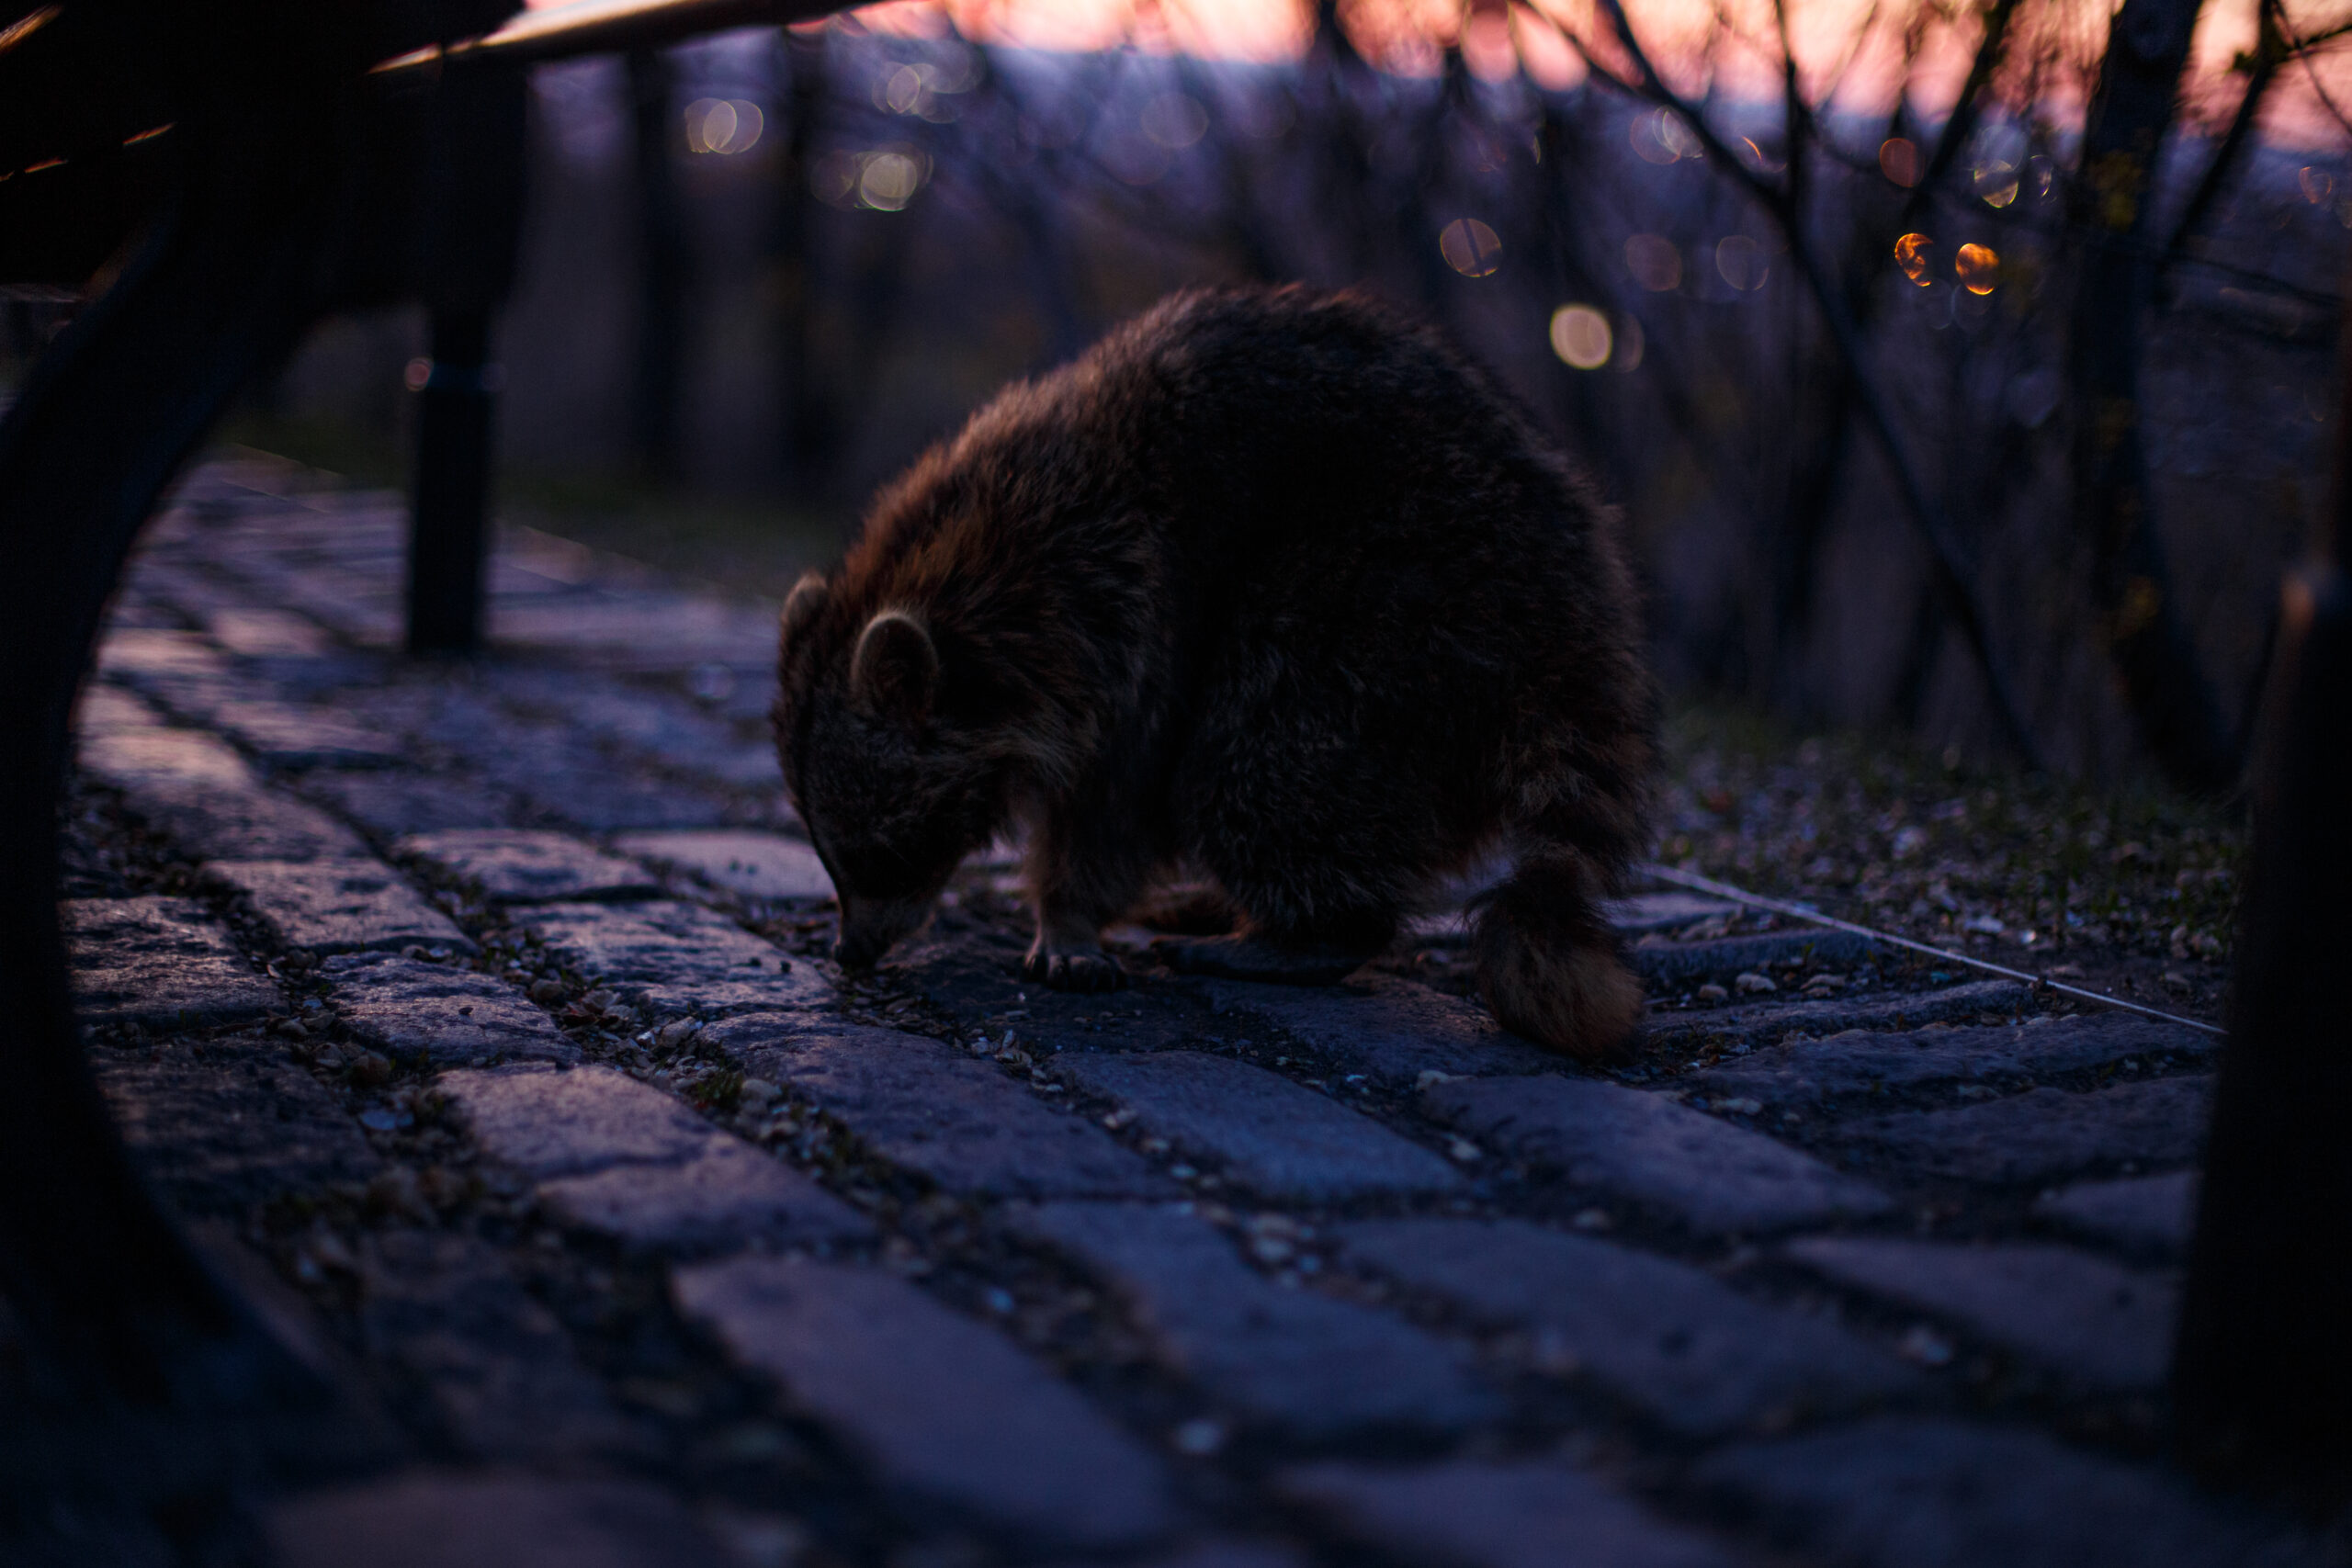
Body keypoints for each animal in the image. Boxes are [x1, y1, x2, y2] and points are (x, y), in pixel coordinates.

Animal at [771, 288, 1656, 1062]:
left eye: (883, 853)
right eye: (831, 856)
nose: (848, 954)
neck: (976, 565)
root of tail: (1576, 616)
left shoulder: (1138, 609)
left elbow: (1118, 799)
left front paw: (1067, 913)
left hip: (1400, 603)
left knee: (1254, 758)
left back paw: (1317, 932)